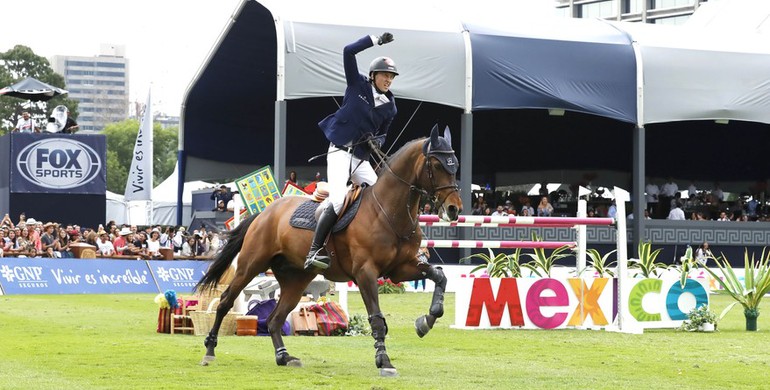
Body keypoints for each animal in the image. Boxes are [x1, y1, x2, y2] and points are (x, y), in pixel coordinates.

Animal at [198, 124, 460, 374]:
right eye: (437, 165)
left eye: (455, 165)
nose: (454, 208)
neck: (389, 212)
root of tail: (265, 212)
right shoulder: (366, 273)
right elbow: (376, 318)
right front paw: (384, 361)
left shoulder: (400, 269)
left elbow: (440, 276)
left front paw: (426, 321)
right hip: (251, 265)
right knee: (225, 301)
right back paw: (209, 350)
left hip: (296, 278)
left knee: (275, 319)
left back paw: (284, 356)